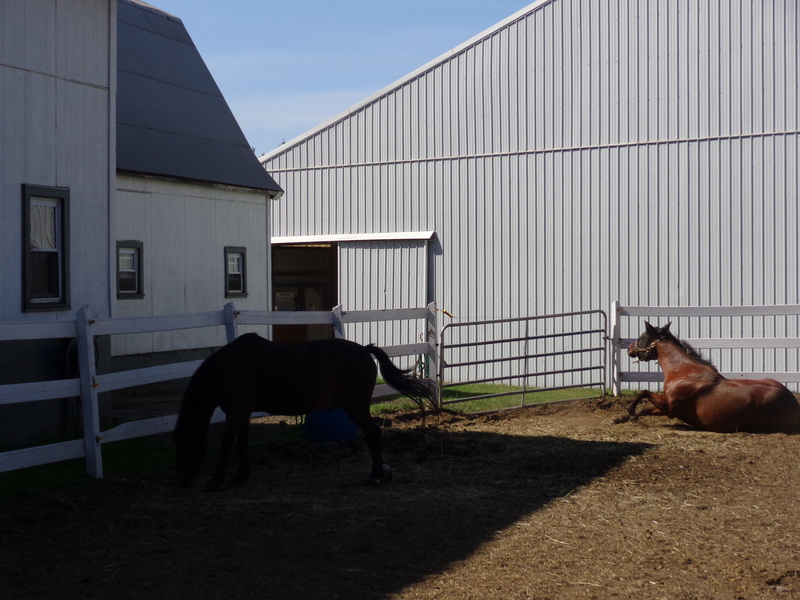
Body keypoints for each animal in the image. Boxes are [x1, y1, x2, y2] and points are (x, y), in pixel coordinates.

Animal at [172, 333, 438, 492]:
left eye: (184, 448)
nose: (182, 481)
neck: (230, 367)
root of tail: (364, 350)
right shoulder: (243, 413)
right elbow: (242, 444)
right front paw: (240, 477)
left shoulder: (235, 412)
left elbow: (226, 445)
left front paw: (216, 480)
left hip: (356, 406)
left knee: (373, 434)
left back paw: (375, 475)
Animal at [613, 321, 800, 433]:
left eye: (641, 337)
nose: (629, 349)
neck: (685, 371)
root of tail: (792, 402)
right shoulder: (666, 407)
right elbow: (644, 408)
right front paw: (621, 418)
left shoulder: (669, 407)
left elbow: (644, 393)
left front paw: (629, 410)